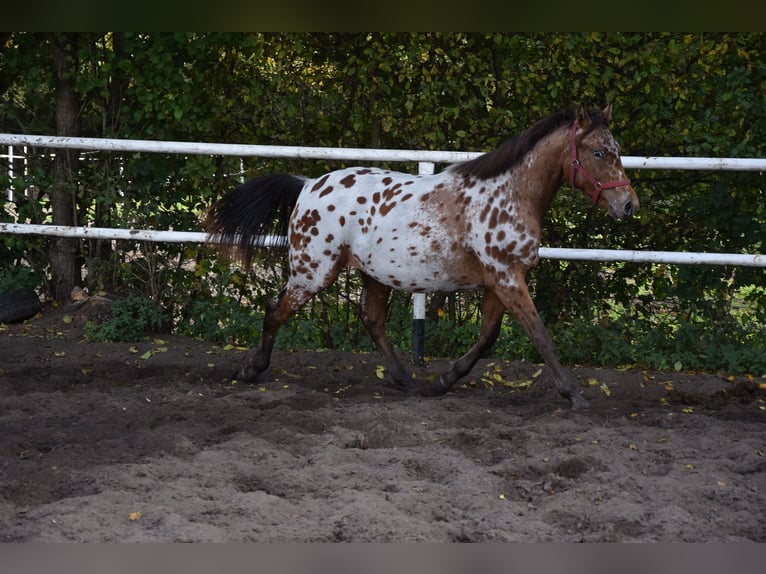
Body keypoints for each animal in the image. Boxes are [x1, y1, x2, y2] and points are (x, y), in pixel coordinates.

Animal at [206, 104, 638, 409]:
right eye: (599, 151)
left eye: (618, 151)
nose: (629, 205)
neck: (509, 194)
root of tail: (308, 184)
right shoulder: (506, 276)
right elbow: (540, 336)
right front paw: (574, 395)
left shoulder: (500, 281)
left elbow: (487, 338)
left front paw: (443, 381)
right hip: (314, 272)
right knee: (274, 308)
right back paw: (250, 370)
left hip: (372, 275)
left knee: (372, 320)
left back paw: (407, 381)